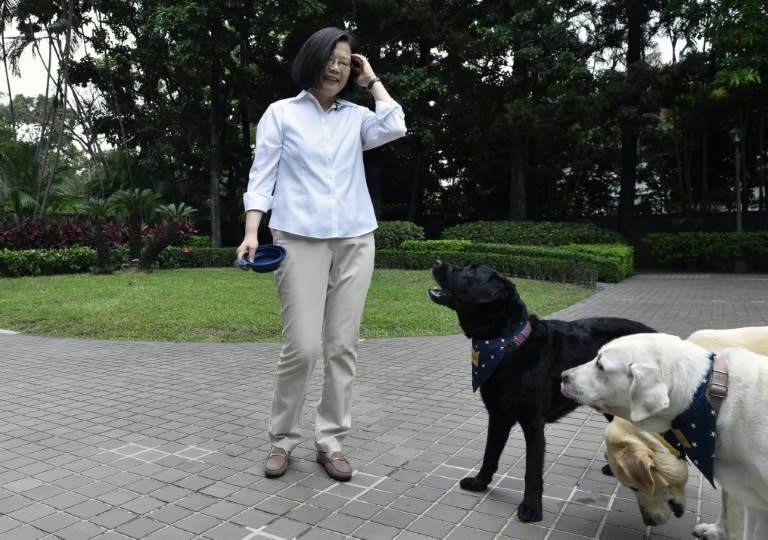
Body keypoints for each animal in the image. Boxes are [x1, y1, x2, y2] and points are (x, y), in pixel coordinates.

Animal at [426, 262, 656, 524]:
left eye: (470, 272)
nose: (437, 261)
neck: (505, 346)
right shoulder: (498, 415)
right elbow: (490, 453)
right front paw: (479, 483)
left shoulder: (533, 423)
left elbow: (532, 470)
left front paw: (532, 508)